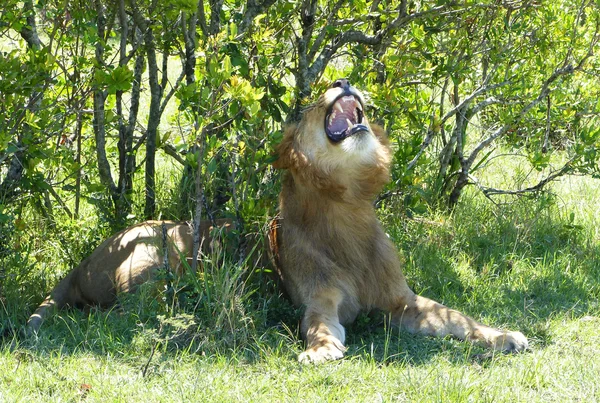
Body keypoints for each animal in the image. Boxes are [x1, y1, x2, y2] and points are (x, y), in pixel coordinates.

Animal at [274, 79, 528, 366]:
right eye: (310, 109)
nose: (343, 82)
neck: (347, 205)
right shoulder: (320, 296)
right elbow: (318, 324)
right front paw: (320, 348)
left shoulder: (402, 299)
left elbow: (458, 317)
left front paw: (503, 336)